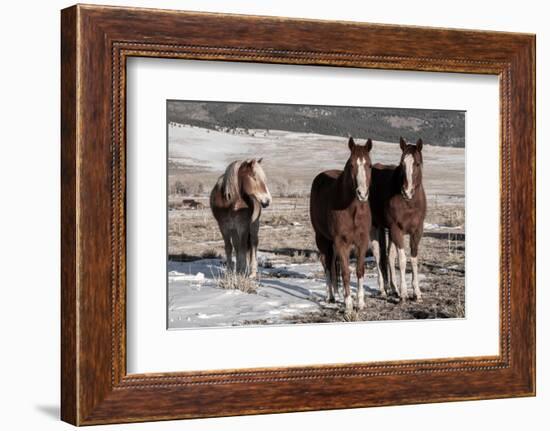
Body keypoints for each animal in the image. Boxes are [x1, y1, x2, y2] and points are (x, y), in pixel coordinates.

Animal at [310, 138, 376, 314]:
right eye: (351, 165)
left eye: (369, 165)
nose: (362, 194)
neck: (352, 209)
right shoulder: (340, 242)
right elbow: (346, 272)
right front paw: (348, 305)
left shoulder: (362, 241)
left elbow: (359, 270)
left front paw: (360, 303)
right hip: (322, 239)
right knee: (327, 264)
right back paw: (331, 296)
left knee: (332, 264)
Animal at [370, 138, 432, 300]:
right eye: (402, 164)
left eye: (417, 163)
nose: (406, 191)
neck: (409, 203)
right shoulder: (397, 229)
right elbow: (403, 260)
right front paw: (404, 293)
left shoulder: (417, 231)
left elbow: (414, 259)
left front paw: (417, 293)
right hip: (375, 226)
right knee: (378, 254)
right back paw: (383, 290)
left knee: (389, 256)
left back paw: (394, 289)